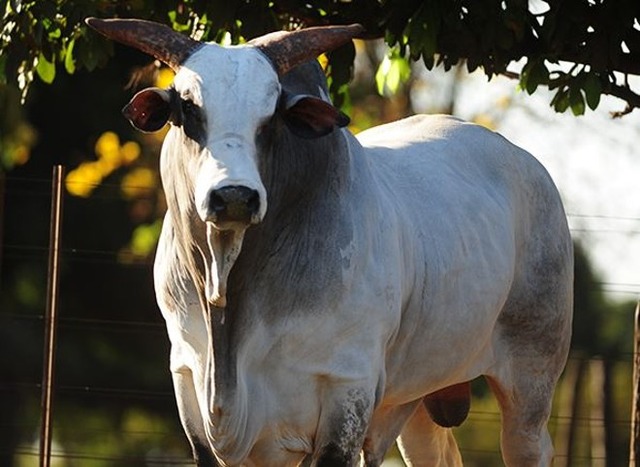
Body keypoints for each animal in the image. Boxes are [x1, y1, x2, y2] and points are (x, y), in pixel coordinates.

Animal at [87, 18, 572, 467]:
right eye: (186, 109)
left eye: (271, 116)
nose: (235, 196)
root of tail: (528, 165)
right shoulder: (190, 385)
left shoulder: (346, 393)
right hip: (415, 402)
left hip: (531, 381)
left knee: (530, 443)